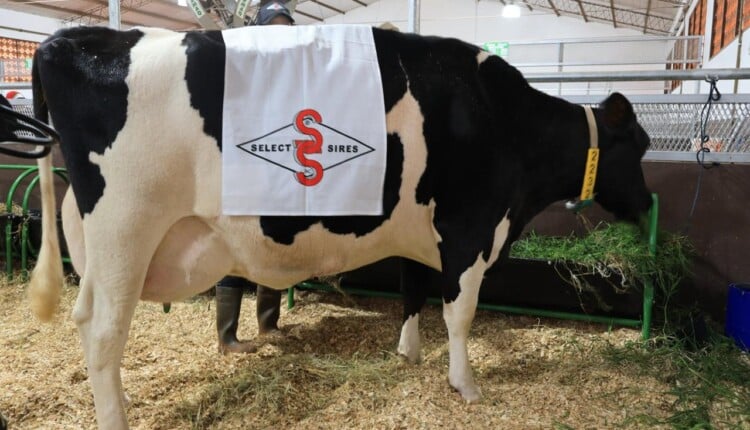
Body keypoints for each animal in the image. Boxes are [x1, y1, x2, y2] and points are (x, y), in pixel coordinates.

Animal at [27, 25, 652, 429]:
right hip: (125, 229)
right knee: (104, 332)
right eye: (641, 146)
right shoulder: (470, 227)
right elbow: (460, 313)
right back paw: (115, 418)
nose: (648, 204)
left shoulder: (419, 229)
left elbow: (413, 292)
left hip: (97, 236)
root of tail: (75, 38)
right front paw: (466, 385)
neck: (506, 121)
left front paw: (408, 355)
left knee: (88, 324)